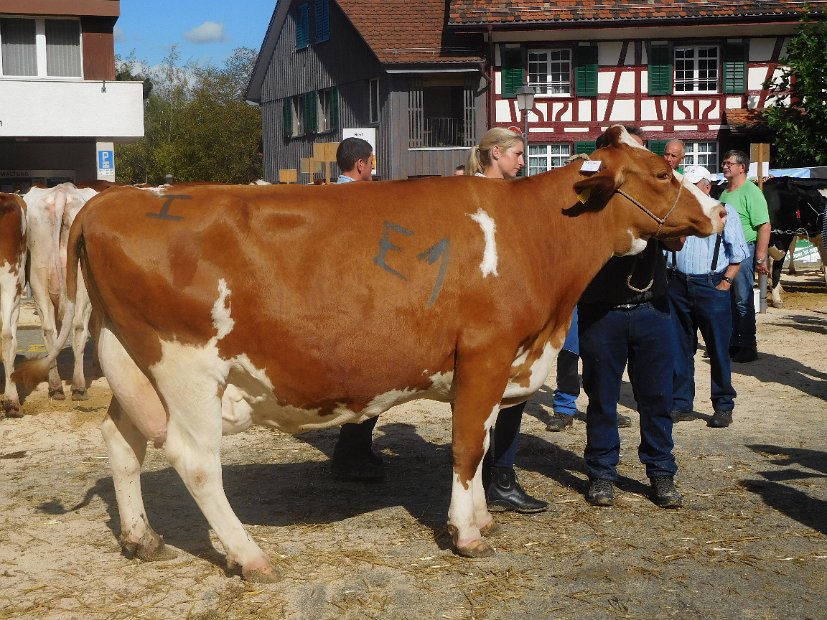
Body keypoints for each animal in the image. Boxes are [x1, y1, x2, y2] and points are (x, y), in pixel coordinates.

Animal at [22, 182, 98, 400]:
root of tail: (62, 192)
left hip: (38, 277)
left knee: (49, 329)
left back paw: (55, 386)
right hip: (81, 283)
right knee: (79, 327)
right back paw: (79, 386)